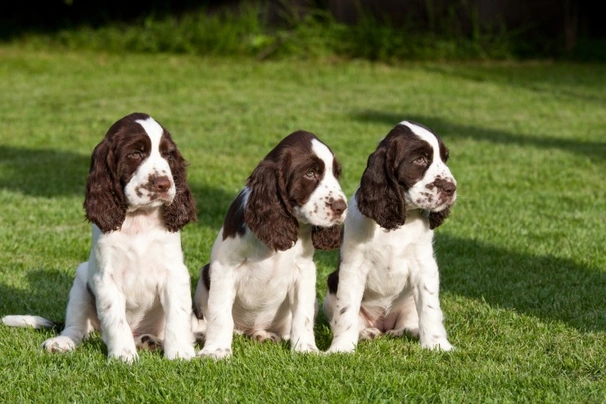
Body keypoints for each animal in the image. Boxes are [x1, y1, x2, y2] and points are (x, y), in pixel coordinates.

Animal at [3, 112, 198, 362]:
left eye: (168, 155)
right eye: (135, 154)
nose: (164, 184)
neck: (139, 220)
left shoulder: (175, 273)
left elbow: (178, 316)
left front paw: (181, 353)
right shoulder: (106, 278)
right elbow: (115, 319)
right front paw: (123, 356)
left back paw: (152, 342)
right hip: (80, 280)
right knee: (77, 328)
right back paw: (62, 342)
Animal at [195, 130, 346, 360]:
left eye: (336, 174)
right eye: (310, 173)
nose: (342, 207)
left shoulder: (305, 271)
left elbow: (302, 315)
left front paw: (306, 349)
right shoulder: (224, 268)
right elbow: (220, 313)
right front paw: (216, 351)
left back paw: (265, 335)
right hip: (205, 277)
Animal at [326, 120, 458, 354]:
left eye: (445, 158)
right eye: (420, 159)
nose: (451, 188)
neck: (398, 221)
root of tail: (383, 324)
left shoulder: (424, 266)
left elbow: (430, 308)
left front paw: (437, 344)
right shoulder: (352, 268)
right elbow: (346, 310)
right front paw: (341, 348)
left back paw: (409, 331)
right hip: (332, 284)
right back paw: (366, 333)